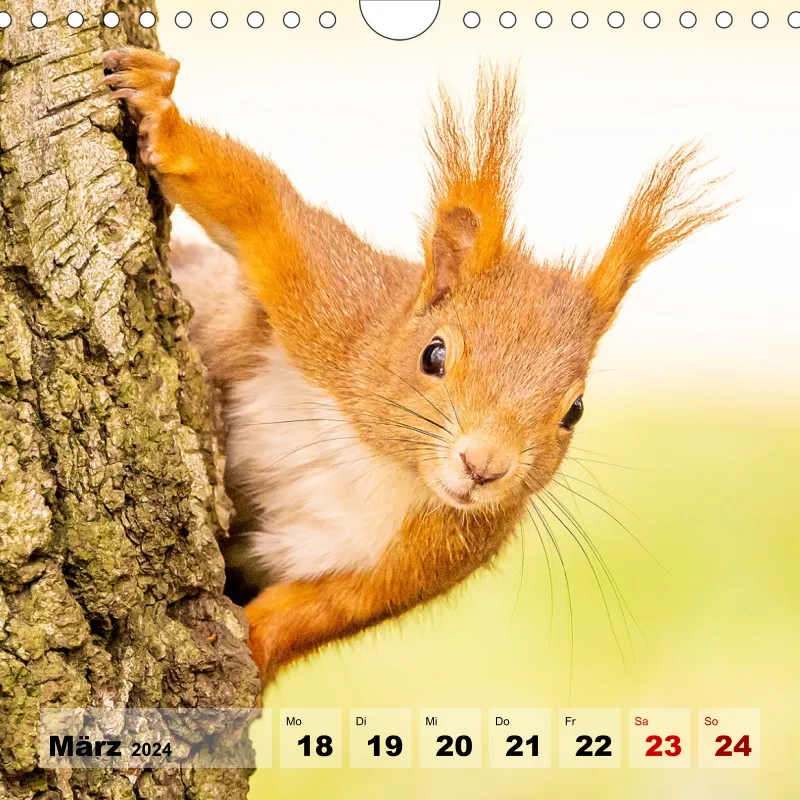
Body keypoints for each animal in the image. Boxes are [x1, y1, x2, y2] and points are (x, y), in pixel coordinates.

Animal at [102, 48, 728, 686]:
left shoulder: (424, 556)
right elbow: (262, 205)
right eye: (434, 354)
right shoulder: (334, 302)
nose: (484, 467)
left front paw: (248, 648)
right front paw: (160, 108)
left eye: (574, 411)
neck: (383, 461)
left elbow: (319, 612)